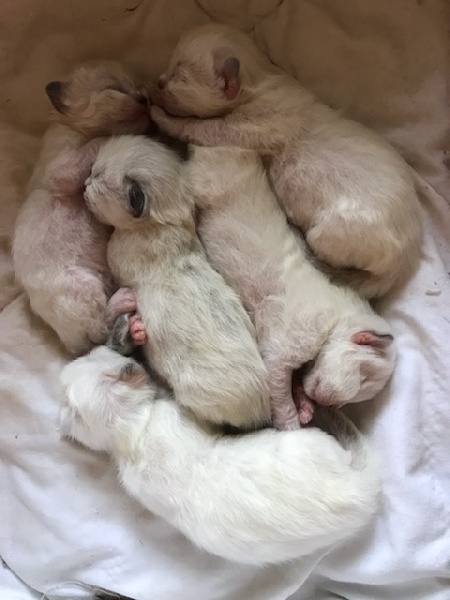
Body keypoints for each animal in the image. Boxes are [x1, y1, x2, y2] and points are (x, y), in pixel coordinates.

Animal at [11, 61, 149, 354]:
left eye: (138, 86)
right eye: (116, 89)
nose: (145, 97)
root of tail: (70, 343)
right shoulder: (60, 170)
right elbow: (97, 144)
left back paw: (135, 329)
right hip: (85, 284)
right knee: (100, 331)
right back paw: (126, 302)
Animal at [83, 135, 270, 432]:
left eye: (98, 177)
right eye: (93, 171)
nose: (85, 182)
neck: (168, 221)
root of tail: (262, 411)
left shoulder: (117, 254)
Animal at [151, 23, 422, 300]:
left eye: (179, 75)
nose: (157, 81)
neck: (259, 81)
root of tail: (405, 262)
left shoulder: (248, 128)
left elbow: (197, 127)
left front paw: (159, 115)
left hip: (329, 232)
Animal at [185, 146, 396, 432]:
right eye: (364, 376)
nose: (332, 406)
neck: (336, 320)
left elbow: (296, 381)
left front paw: (305, 407)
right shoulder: (286, 343)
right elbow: (280, 388)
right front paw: (293, 426)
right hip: (207, 181)